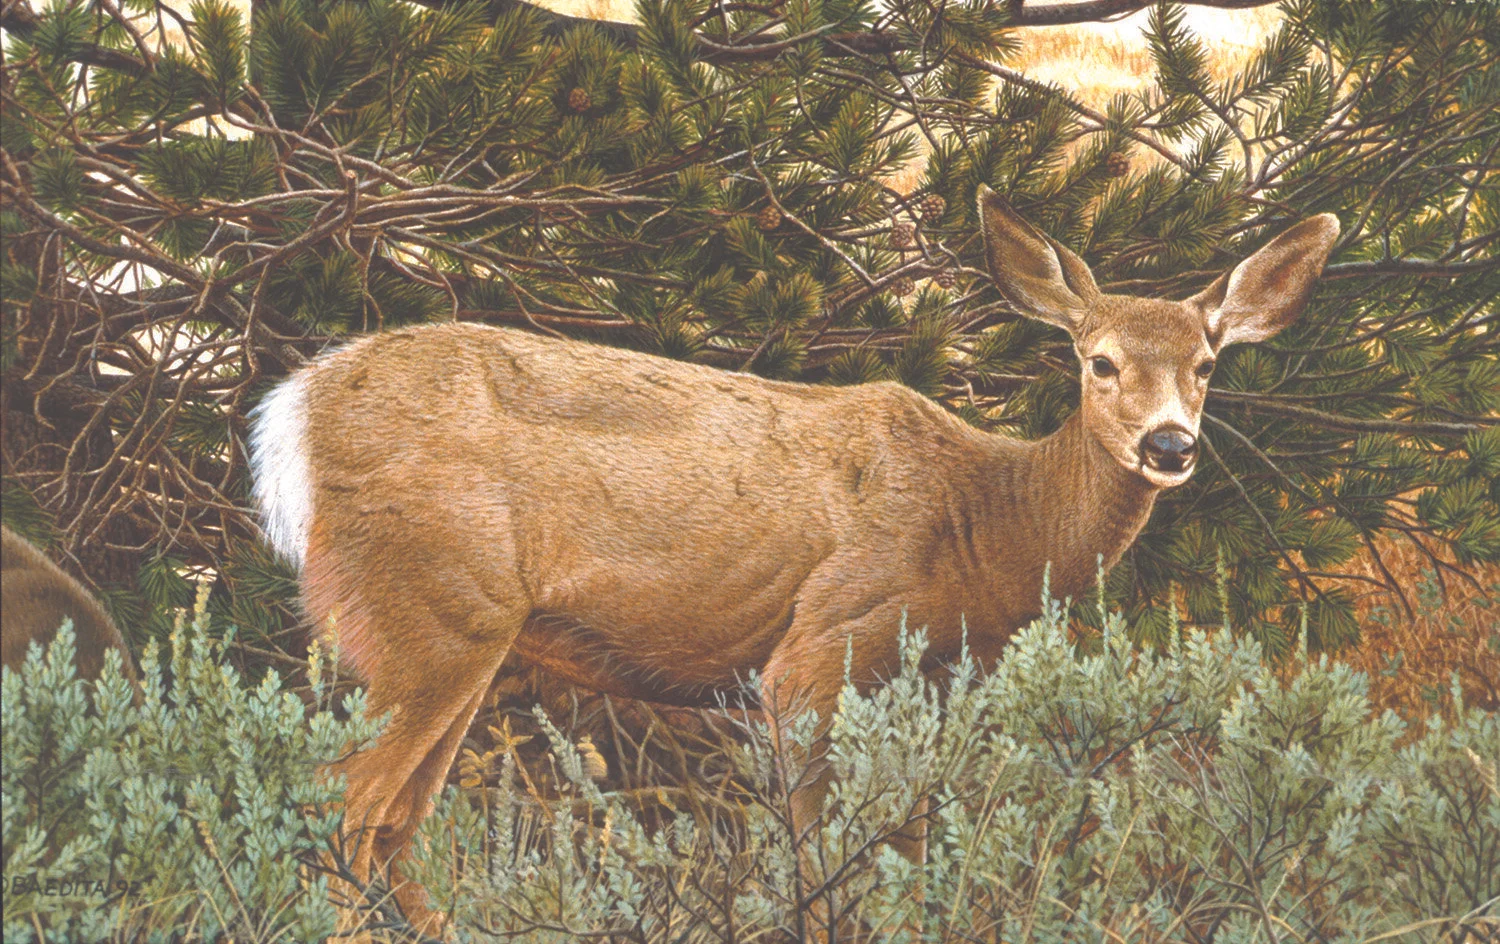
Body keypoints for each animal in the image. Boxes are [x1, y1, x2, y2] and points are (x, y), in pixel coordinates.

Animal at [248, 186, 1339, 927]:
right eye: (1099, 361)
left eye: (1207, 365)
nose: (1170, 444)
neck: (982, 523)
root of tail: (288, 413)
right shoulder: (820, 650)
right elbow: (818, 855)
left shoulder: (924, 682)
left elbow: (905, 848)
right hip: (426, 608)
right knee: (341, 807)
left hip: (459, 633)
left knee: (392, 825)